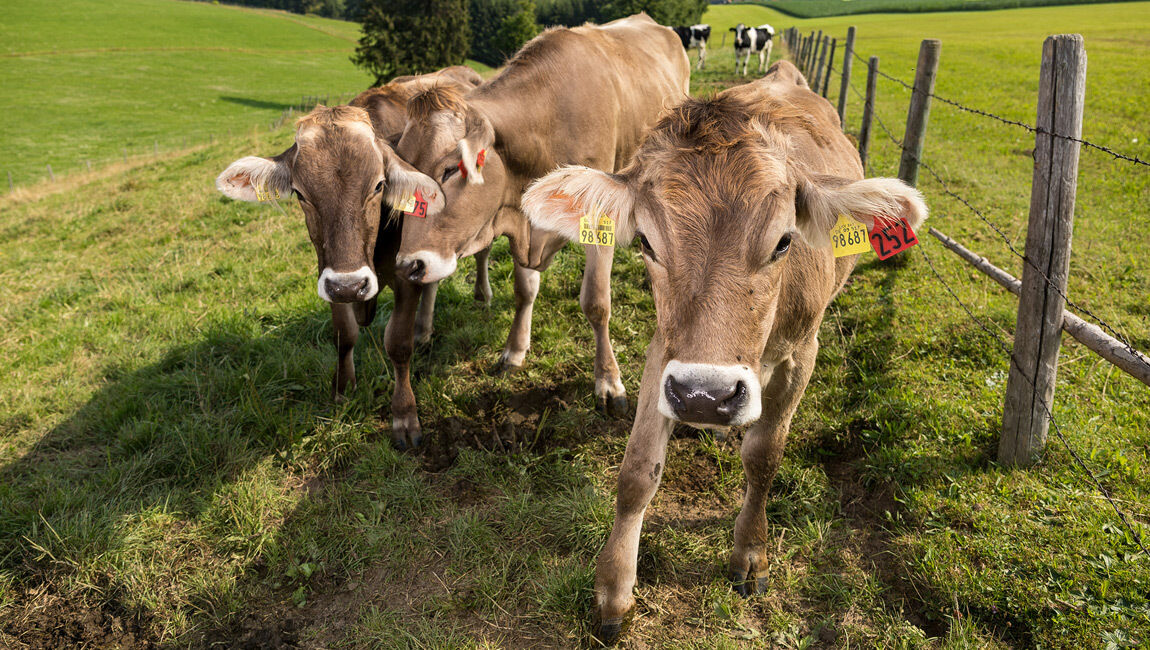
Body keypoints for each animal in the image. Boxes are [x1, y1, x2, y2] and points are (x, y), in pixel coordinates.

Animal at [214, 68, 485, 450]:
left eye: (379, 185)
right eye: (300, 193)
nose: (351, 286)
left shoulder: (403, 274)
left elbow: (397, 343)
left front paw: (404, 414)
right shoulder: (328, 273)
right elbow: (344, 334)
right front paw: (343, 390)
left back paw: (481, 295)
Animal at [389, 13, 690, 417]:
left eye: (451, 169)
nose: (409, 266)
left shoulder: (598, 220)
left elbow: (597, 303)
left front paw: (608, 381)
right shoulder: (526, 224)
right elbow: (524, 291)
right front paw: (514, 350)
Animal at [521, 60, 928, 644]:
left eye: (784, 241)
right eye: (646, 242)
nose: (705, 398)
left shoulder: (802, 352)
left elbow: (764, 455)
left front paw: (750, 554)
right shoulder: (665, 353)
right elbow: (637, 471)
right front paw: (614, 590)